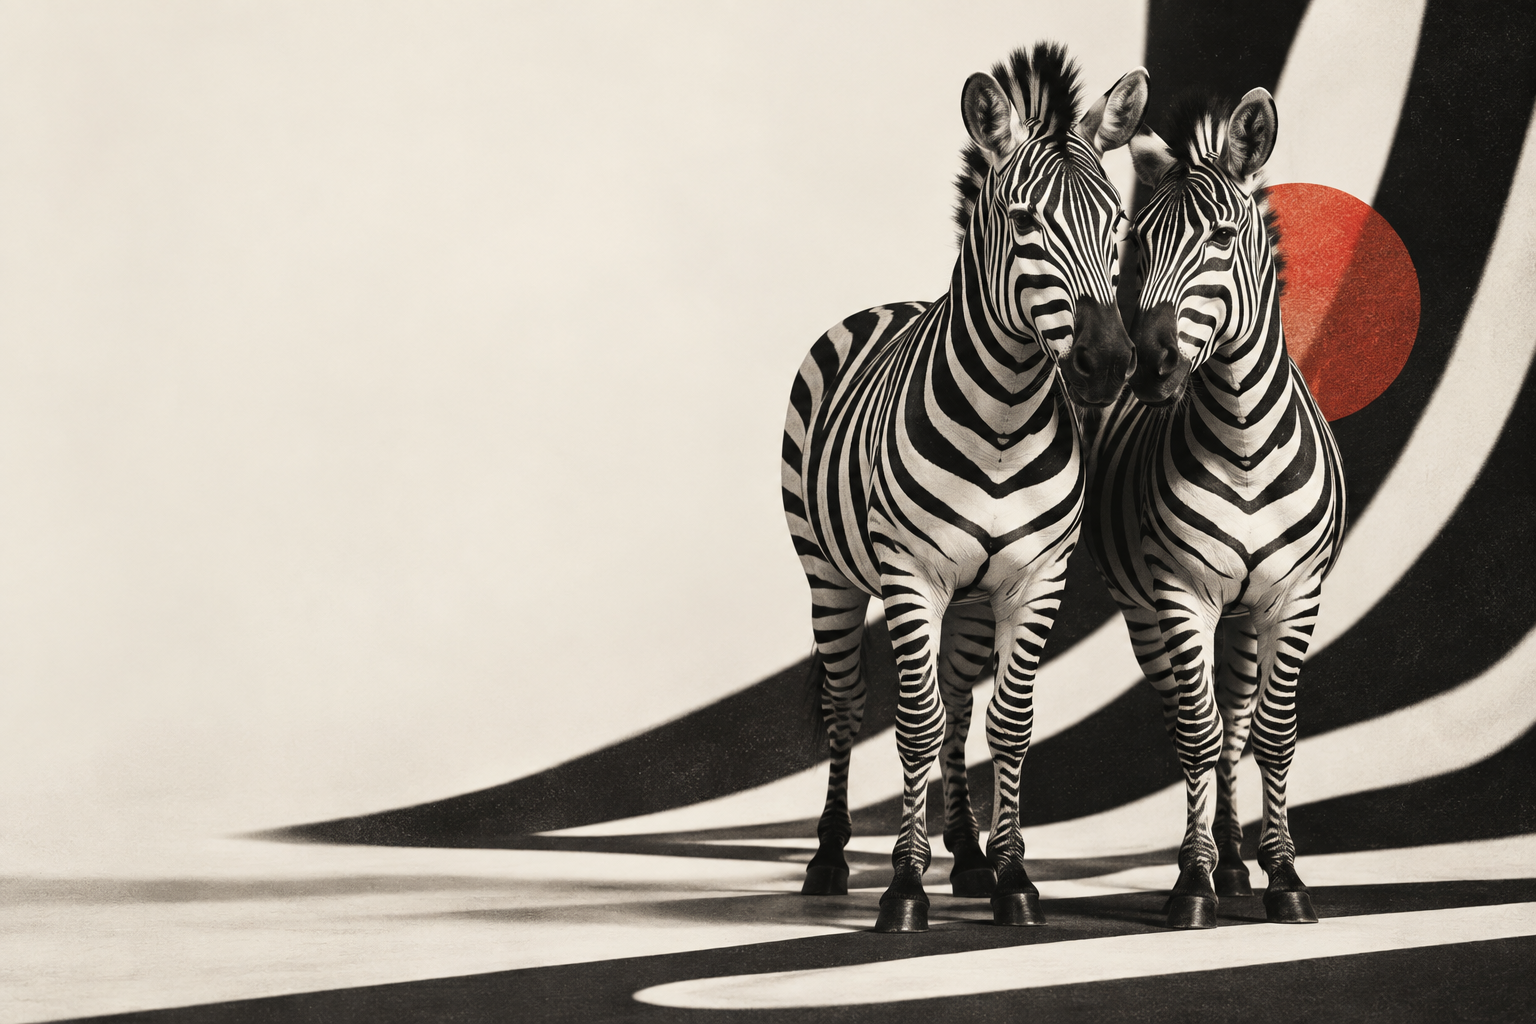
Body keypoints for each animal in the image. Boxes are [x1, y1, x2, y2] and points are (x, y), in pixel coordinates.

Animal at [782, 43, 1148, 933]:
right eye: (1023, 222)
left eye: (1118, 223)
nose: (1106, 365)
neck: (1006, 418)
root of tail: (889, 304)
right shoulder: (911, 577)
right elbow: (911, 726)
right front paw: (904, 887)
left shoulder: (1034, 579)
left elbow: (1006, 726)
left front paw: (1012, 877)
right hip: (827, 575)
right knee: (848, 704)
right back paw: (831, 855)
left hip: (975, 601)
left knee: (956, 702)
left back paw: (968, 855)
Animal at [1083, 89, 1347, 929]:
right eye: (1139, 244)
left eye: (1224, 238)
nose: (1149, 365)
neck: (1243, 443)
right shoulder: (1181, 594)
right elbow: (1196, 737)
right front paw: (1192, 883)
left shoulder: (1294, 596)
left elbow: (1272, 734)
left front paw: (1285, 875)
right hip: (1148, 613)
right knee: (1190, 720)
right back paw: (1209, 862)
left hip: (1243, 615)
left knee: (1235, 722)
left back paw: (1236, 862)